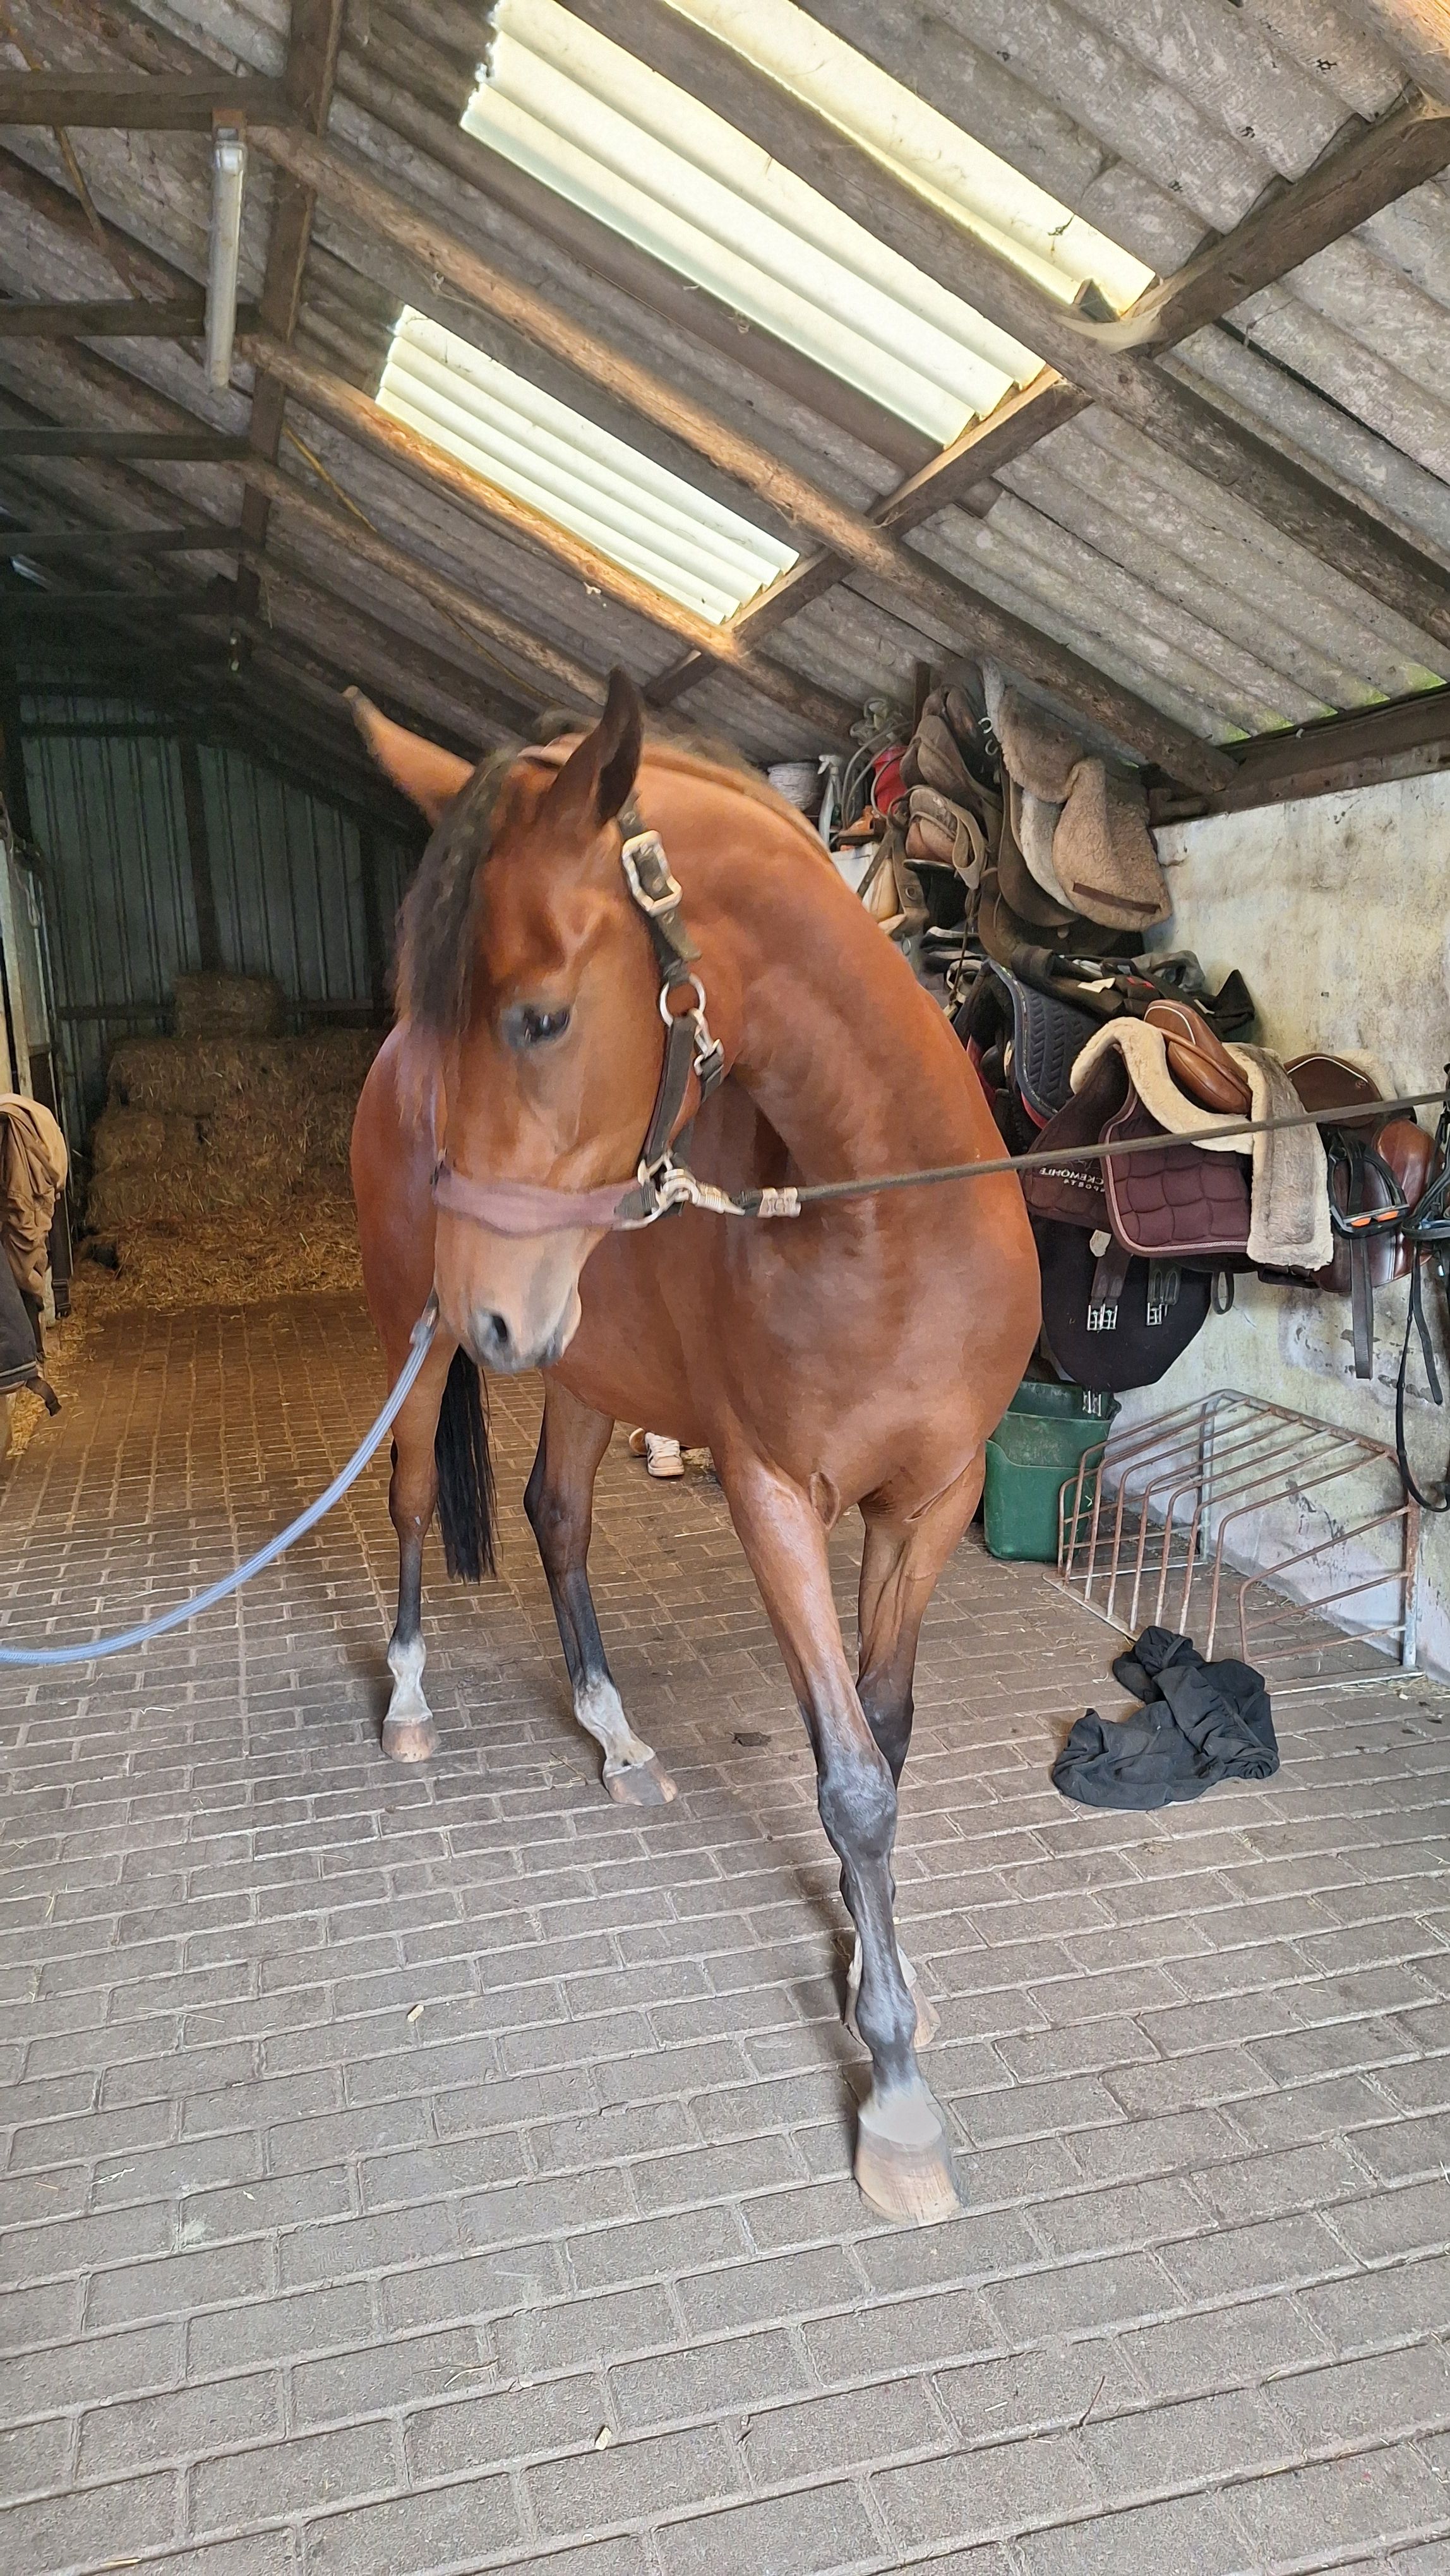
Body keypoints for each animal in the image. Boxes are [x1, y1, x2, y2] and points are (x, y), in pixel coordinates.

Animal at [348, 669, 1040, 2223]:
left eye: (538, 1019)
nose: (490, 1309)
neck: (876, 1212)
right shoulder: (772, 1497)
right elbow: (847, 1780)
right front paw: (894, 2089)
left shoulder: (929, 1501)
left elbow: (885, 1740)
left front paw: (868, 1962)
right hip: (422, 1350)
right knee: (415, 1499)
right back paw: (410, 1703)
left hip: (581, 1366)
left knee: (556, 1515)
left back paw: (613, 1734)